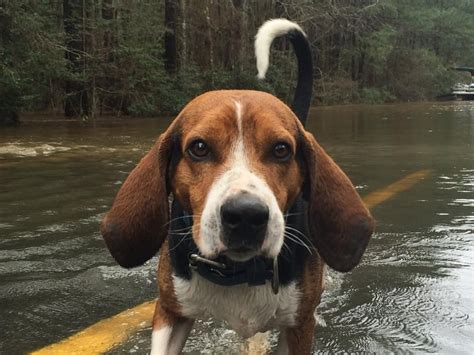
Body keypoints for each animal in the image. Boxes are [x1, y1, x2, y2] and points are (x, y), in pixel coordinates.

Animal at [101, 20, 374, 355]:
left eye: (281, 149)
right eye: (199, 147)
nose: (246, 215)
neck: (237, 272)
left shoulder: (300, 325)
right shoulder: (169, 311)